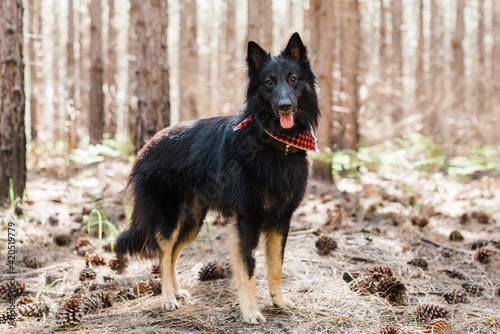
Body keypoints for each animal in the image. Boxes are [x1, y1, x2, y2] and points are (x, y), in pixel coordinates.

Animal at [116, 32, 320, 324]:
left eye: (293, 78)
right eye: (269, 82)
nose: (285, 107)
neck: (270, 140)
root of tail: (147, 145)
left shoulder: (281, 219)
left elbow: (276, 266)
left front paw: (279, 302)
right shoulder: (247, 219)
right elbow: (249, 268)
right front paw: (251, 311)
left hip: (192, 222)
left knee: (174, 254)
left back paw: (178, 292)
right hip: (170, 219)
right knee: (163, 254)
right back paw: (167, 299)